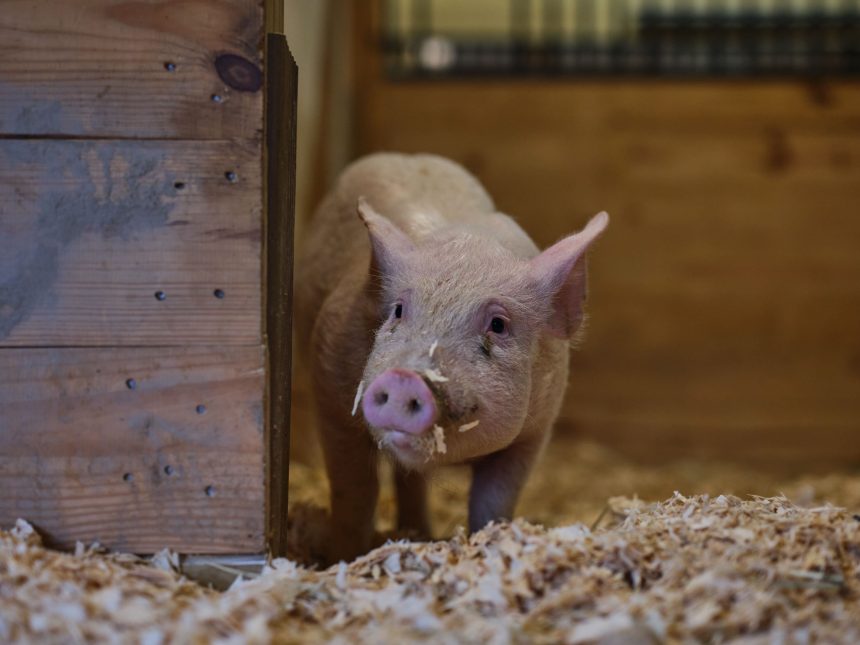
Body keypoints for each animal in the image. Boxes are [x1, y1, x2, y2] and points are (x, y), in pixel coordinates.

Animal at [295, 153, 608, 563]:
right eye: (398, 310)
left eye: (498, 324)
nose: (404, 377)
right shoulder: (331, 394)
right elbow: (355, 494)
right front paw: (344, 558)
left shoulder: (535, 432)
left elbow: (494, 502)